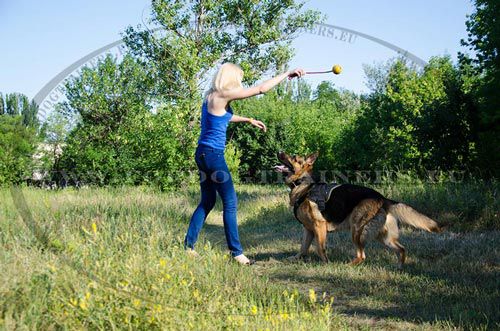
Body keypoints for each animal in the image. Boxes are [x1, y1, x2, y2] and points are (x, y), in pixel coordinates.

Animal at [274, 152, 442, 268]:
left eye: (294, 157)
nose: (279, 151)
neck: (304, 186)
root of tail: (382, 198)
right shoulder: (308, 229)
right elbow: (303, 248)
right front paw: (296, 259)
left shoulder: (319, 226)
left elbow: (320, 248)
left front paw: (326, 264)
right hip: (382, 236)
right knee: (401, 249)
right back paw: (399, 267)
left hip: (356, 230)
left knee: (362, 256)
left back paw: (347, 266)